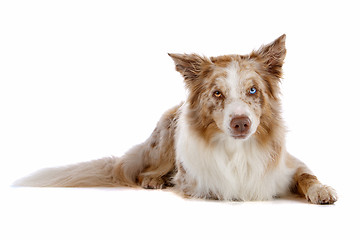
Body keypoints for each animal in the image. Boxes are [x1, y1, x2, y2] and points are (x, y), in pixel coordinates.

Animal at [15, 34, 338, 204]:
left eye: (253, 90)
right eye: (217, 93)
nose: (241, 123)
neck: (237, 150)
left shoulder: (289, 166)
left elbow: (307, 175)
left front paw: (322, 190)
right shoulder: (196, 181)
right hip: (165, 138)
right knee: (146, 171)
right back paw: (153, 180)